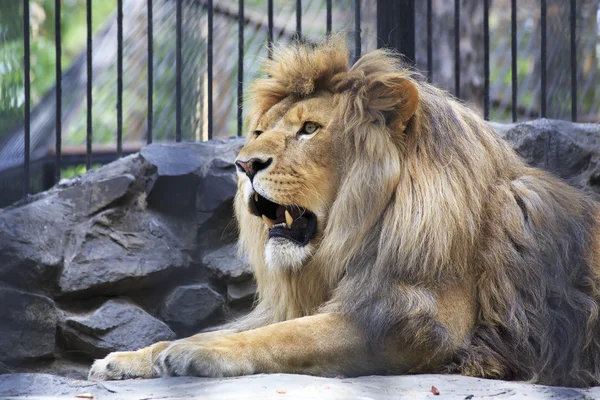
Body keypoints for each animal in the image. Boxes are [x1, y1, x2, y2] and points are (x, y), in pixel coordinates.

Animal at [85, 38, 600, 388]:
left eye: (310, 129)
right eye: (259, 131)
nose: (244, 164)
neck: (363, 230)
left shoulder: (424, 322)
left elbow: (286, 337)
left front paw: (195, 348)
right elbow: (264, 326)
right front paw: (130, 357)